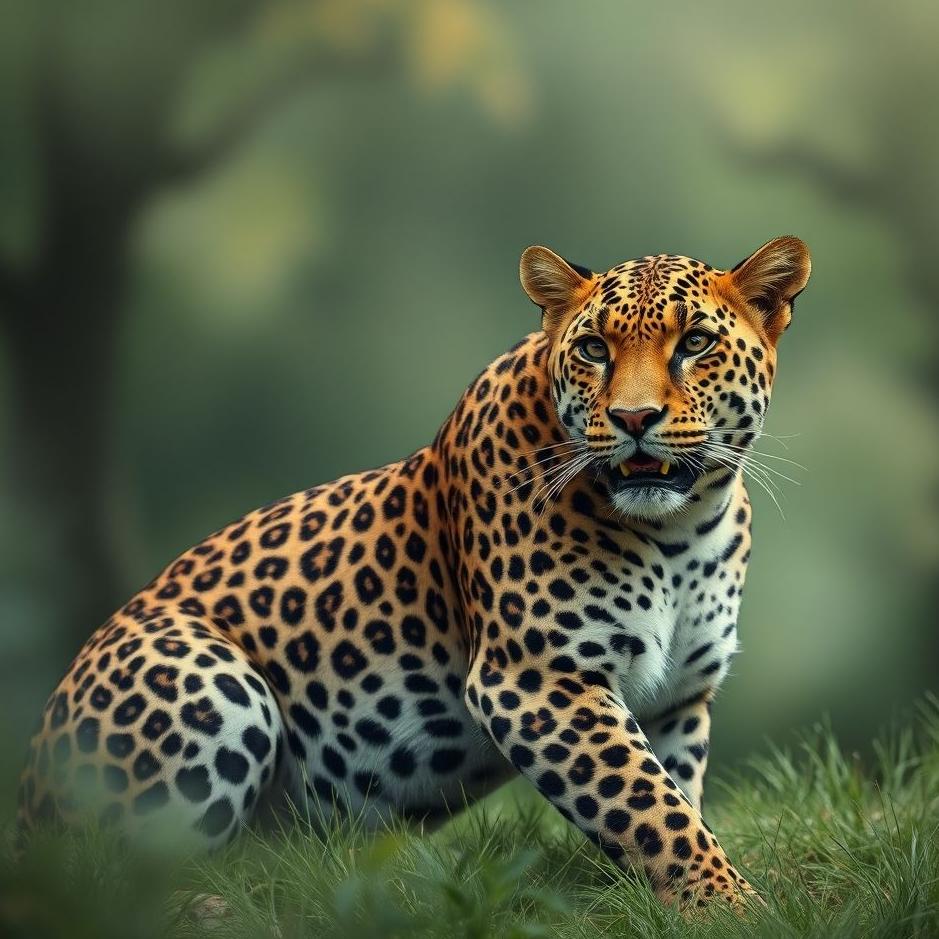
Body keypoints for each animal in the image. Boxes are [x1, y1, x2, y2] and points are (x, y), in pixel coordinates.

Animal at [18, 235, 811, 911]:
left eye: (695, 343)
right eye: (593, 348)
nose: (633, 418)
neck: (681, 535)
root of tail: (26, 802)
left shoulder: (678, 697)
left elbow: (669, 798)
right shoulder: (536, 678)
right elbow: (647, 803)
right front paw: (732, 906)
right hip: (209, 678)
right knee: (106, 879)